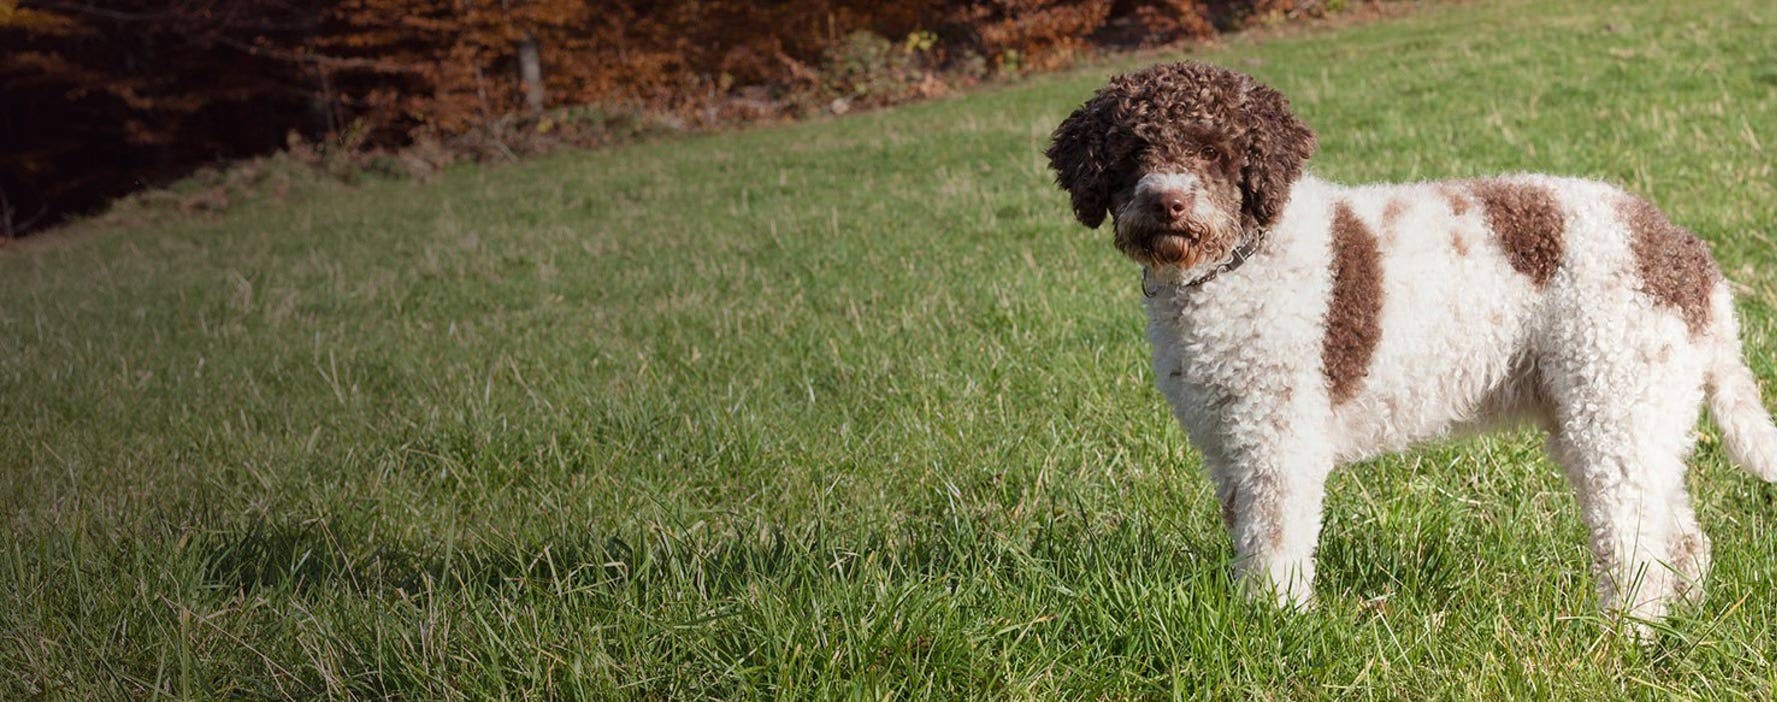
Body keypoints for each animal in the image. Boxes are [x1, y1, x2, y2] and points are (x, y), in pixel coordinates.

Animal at [1037, 59, 1777, 622]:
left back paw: (1624, 634)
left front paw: (1271, 629)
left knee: (1635, 543)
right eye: (1132, 150)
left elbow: (1275, 546)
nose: (1168, 203)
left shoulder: (1279, 443)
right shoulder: (1229, 444)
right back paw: (1681, 620)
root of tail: (1688, 257)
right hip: (1633, 414)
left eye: (1216, 151)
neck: (1238, 261)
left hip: (1612, 404)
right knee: (1682, 536)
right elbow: (1248, 538)